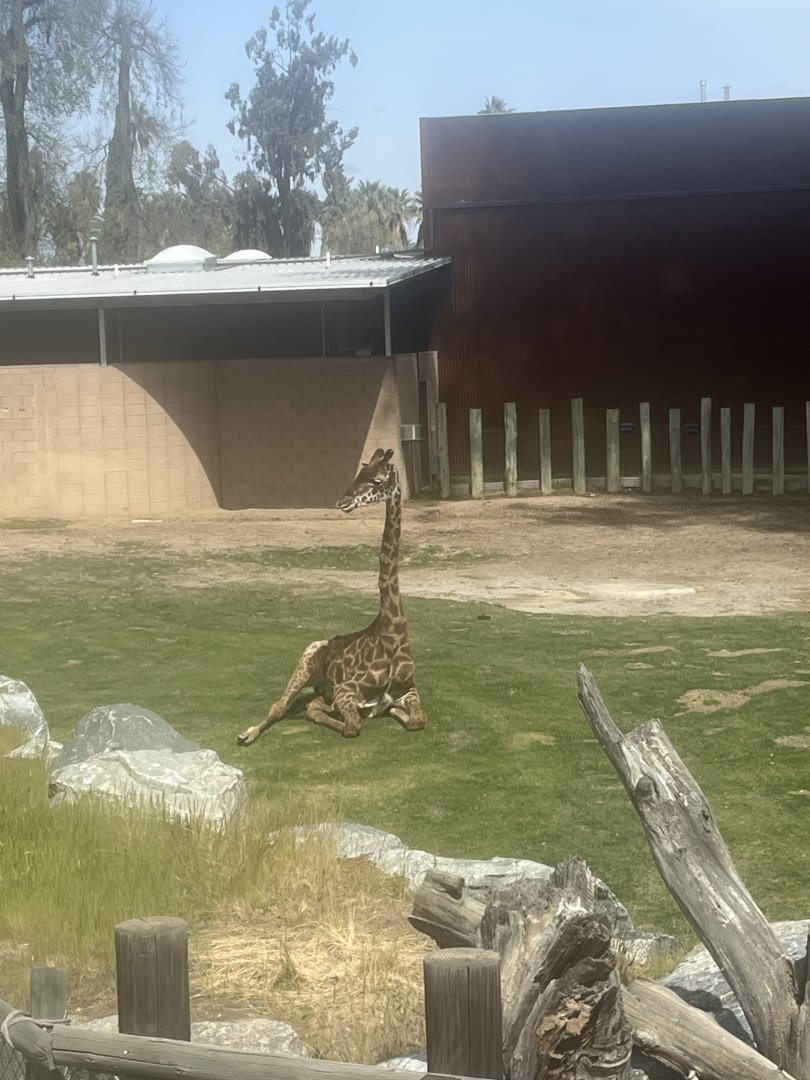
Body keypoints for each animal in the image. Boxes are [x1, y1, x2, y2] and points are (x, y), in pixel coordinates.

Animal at [237, 448, 427, 744]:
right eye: (359, 473)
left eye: (376, 480)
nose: (342, 502)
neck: (392, 632)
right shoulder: (345, 691)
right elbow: (353, 725)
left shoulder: (409, 691)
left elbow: (418, 719)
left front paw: (396, 712)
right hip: (306, 660)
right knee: (281, 706)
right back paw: (247, 734)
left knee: (305, 704)